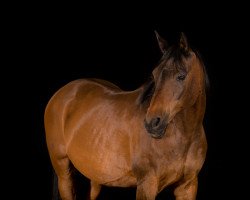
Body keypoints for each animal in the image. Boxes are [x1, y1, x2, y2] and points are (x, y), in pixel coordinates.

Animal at [44, 32, 208, 199]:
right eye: (154, 75)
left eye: (181, 76)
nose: (152, 123)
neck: (184, 136)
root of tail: (62, 93)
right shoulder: (146, 184)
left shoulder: (188, 185)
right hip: (64, 172)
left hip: (94, 176)